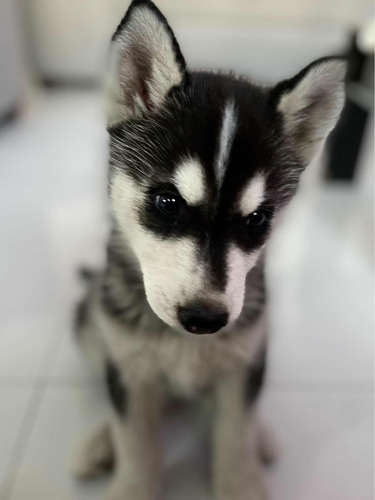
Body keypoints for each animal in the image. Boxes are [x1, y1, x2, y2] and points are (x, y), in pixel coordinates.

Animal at [72, 1, 348, 498]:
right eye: (167, 202)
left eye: (258, 219)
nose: (205, 319)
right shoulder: (129, 369)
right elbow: (134, 438)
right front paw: (130, 476)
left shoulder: (242, 364)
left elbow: (235, 432)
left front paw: (242, 477)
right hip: (88, 320)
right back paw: (101, 441)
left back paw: (262, 437)